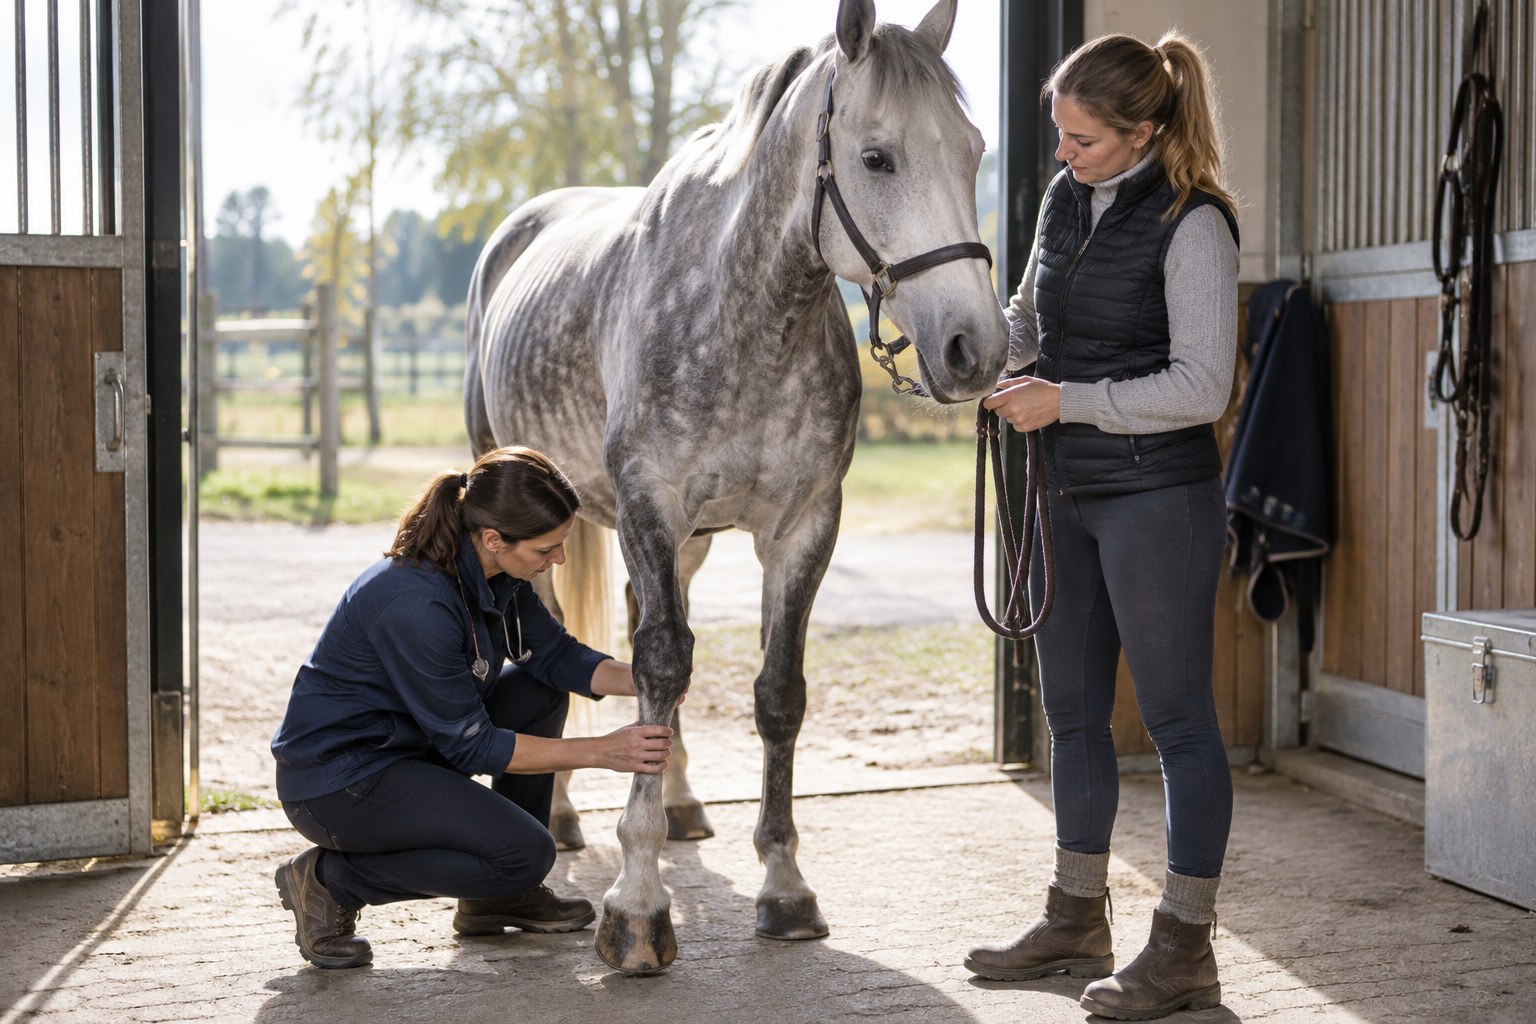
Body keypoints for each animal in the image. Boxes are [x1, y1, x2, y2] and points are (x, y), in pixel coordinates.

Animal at [463, 0, 1007, 974]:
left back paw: (679, 803)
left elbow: (774, 692)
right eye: (877, 157)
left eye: (974, 148)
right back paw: (563, 818)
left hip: (688, 542)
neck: (745, 312)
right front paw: (637, 906)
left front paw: (784, 886)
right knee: (567, 644)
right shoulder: (649, 503)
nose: (973, 351)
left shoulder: (801, 526)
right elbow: (658, 665)